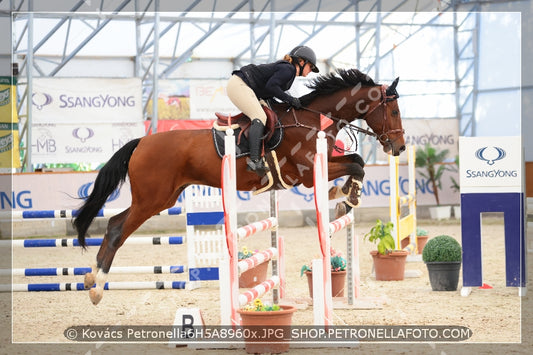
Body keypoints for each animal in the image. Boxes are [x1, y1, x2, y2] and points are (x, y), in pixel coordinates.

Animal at [74, 68, 404, 304]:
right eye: (394, 111)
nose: (399, 147)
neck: (311, 120)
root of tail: (141, 141)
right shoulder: (308, 175)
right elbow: (356, 164)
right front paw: (347, 198)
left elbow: (357, 160)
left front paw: (344, 195)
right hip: (151, 199)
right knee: (118, 228)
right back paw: (97, 286)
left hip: (162, 198)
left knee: (114, 223)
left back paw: (90, 279)